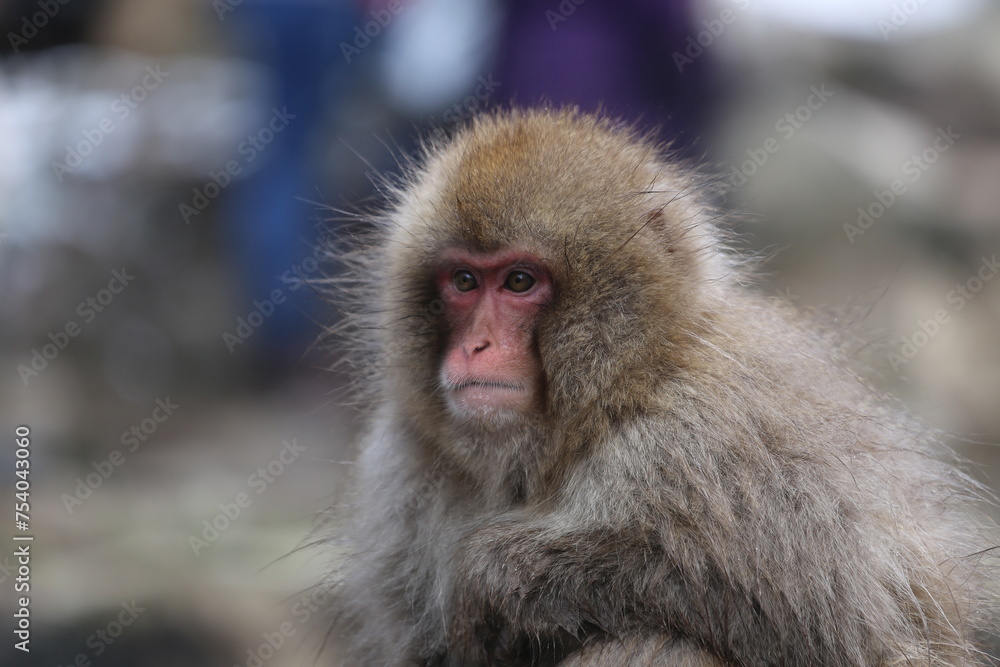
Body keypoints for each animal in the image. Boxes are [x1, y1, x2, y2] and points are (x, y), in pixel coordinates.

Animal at [323, 107, 999, 666]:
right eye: (464, 280)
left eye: (518, 281)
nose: (475, 347)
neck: (609, 398)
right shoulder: (402, 472)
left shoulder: (710, 435)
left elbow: (834, 627)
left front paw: (493, 577)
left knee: (655, 640)